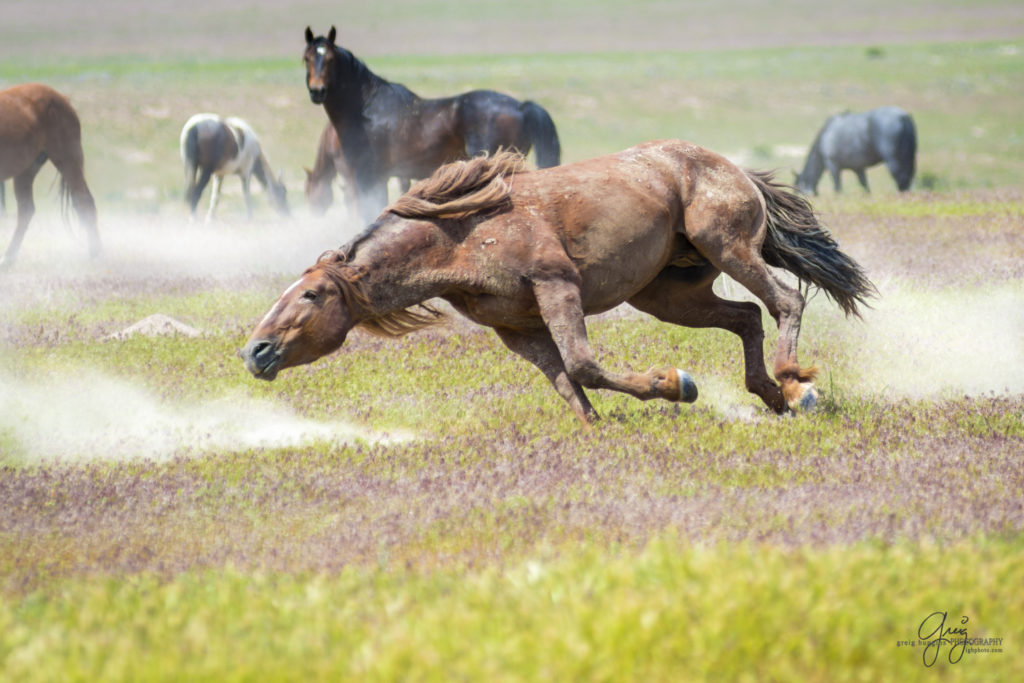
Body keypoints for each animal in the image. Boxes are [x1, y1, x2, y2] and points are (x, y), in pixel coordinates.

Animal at [0, 83, 100, 268]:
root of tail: (62, 98)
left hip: (68, 161)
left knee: (85, 200)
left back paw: (96, 252)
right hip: (26, 171)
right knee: (26, 210)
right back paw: (9, 258)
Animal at [243, 141, 876, 423]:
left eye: (311, 294)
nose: (255, 352)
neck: (464, 238)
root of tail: (733, 168)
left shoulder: (556, 287)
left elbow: (583, 365)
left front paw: (677, 385)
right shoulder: (516, 328)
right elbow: (565, 382)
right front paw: (596, 427)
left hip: (728, 246)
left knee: (785, 301)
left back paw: (796, 385)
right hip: (668, 295)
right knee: (746, 317)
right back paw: (772, 396)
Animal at [299, 26, 565, 223]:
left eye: (330, 59)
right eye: (306, 59)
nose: (316, 91)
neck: (365, 110)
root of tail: (521, 106)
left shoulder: (366, 178)